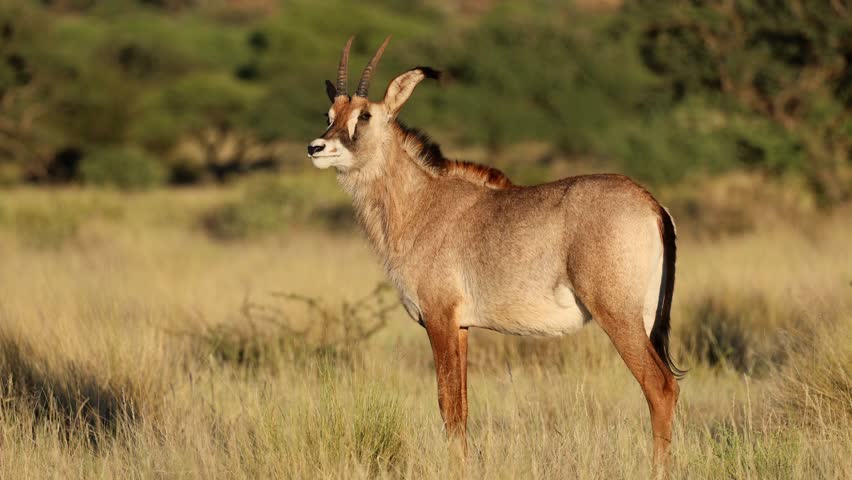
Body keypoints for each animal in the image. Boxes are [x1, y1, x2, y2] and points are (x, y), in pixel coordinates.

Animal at [307, 36, 685, 472]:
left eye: (365, 115)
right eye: (330, 113)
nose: (316, 147)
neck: (420, 202)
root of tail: (651, 204)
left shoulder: (439, 318)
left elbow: (448, 406)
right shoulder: (461, 326)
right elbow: (462, 407)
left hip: (617, 314)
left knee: (659, 386)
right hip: (645, 317)